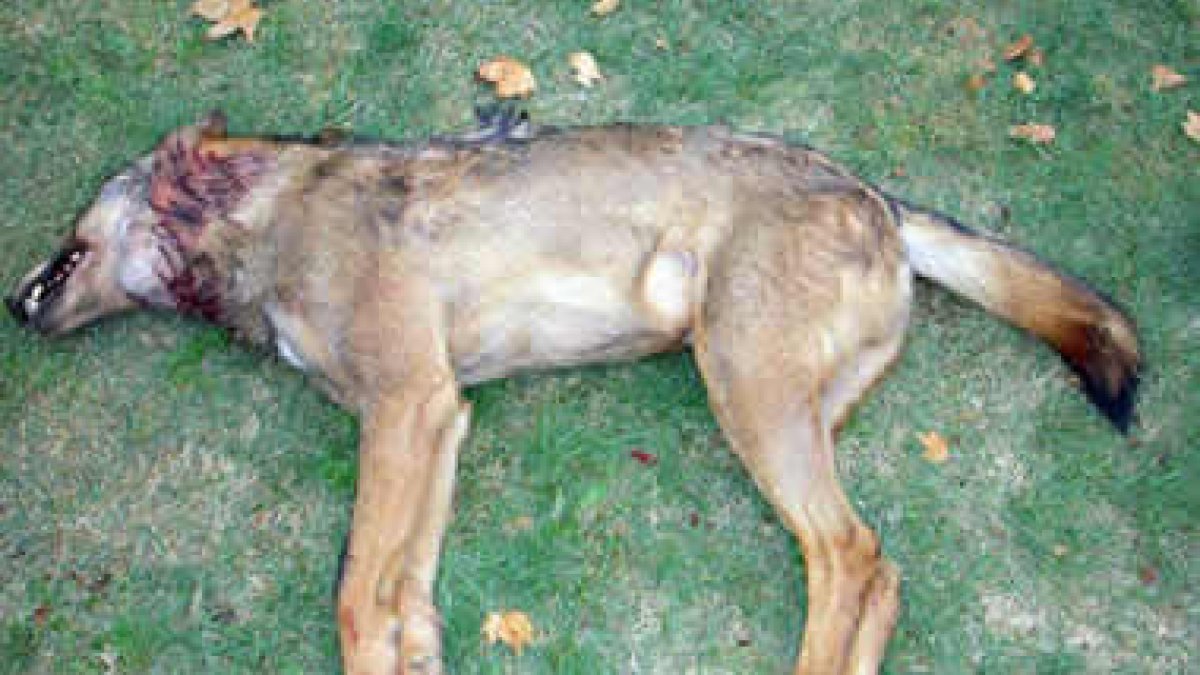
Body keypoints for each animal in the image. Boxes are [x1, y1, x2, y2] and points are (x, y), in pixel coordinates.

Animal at [6, 111, 1139, 674]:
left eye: (72, 226)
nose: (15, 305)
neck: (263, 221)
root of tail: (880, 198)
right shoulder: (438, 418)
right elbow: (406, 591)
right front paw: (419, 652)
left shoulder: (405, 407)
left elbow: (354, 596)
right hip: (796, 406)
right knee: (881, 574)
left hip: (745, 388)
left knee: (851, 558)